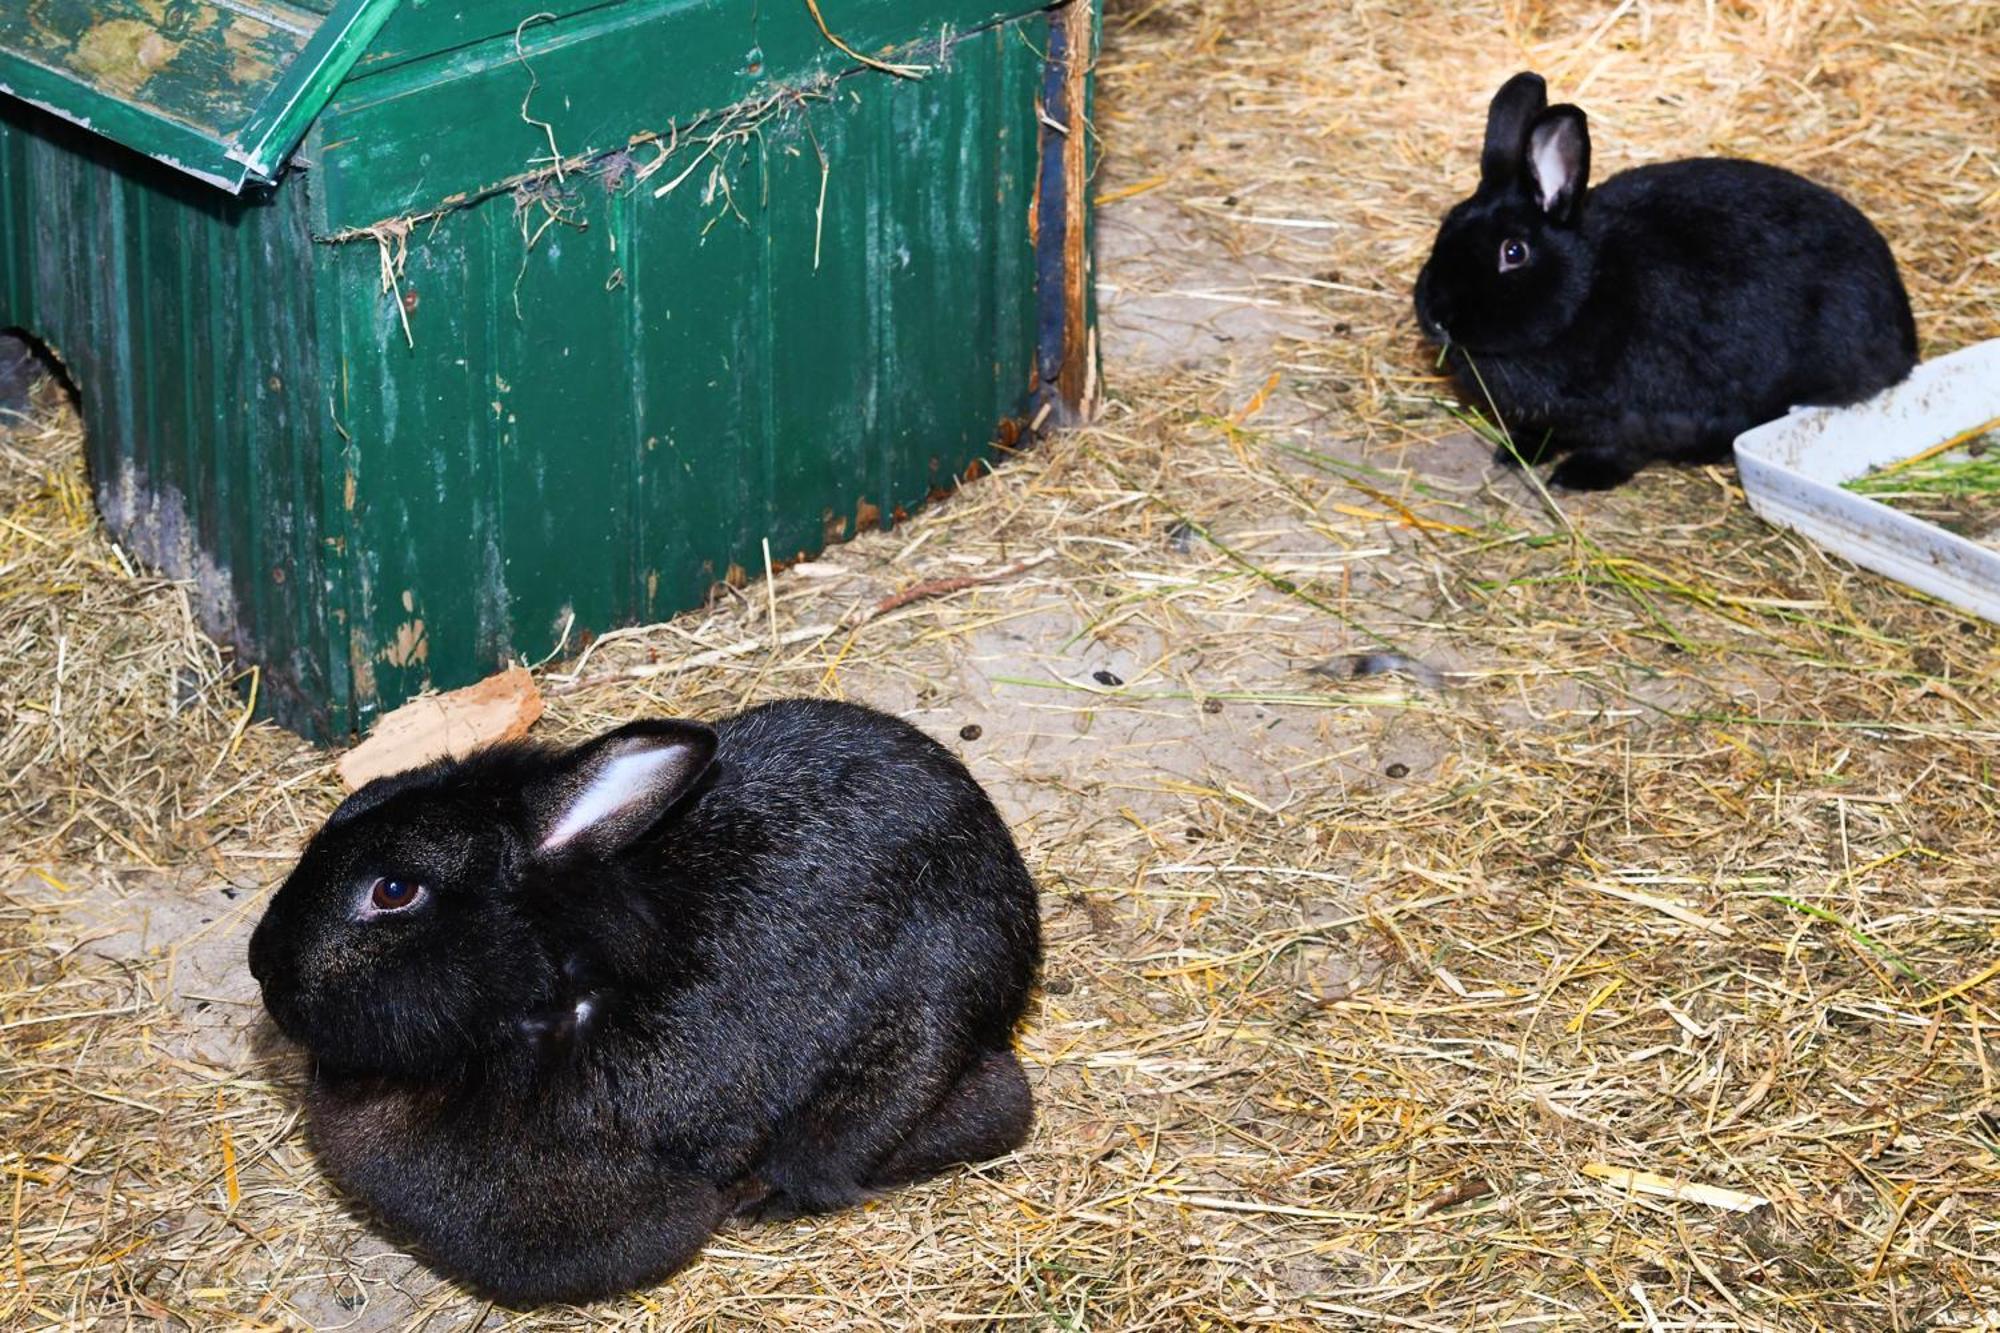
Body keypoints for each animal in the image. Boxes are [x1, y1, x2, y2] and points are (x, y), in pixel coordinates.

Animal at [1416, 70, 1912, 490]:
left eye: (1514, 252)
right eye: (1446, 225)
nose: (1437, 318)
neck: (1587, 289)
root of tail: (1903, 326)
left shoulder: (1647, 414)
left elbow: (1623, 449)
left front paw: (1579, 476)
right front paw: (1515, 452)